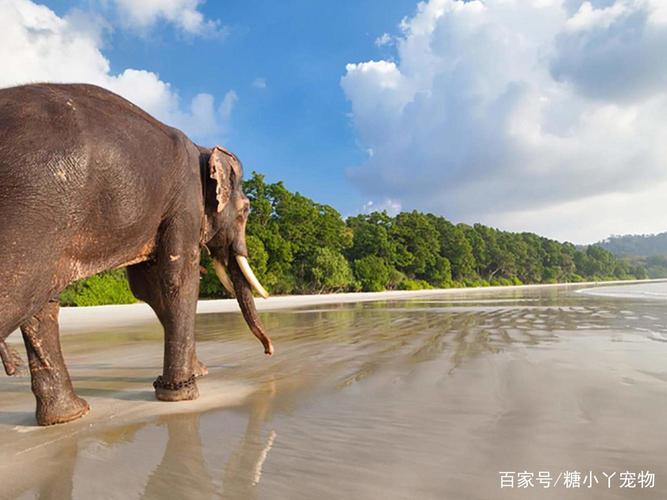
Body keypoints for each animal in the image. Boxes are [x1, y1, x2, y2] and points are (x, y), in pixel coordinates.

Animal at [0, 83, 273, 426]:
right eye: (246, 210)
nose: (270, 351)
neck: (202, 148)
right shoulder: (186, 201)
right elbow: (178, 279)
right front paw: (182, 394)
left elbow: (148, 288)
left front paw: (198, 373)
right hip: (35, 205)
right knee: (20, 293)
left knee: (40, 300)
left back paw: (68, 417)